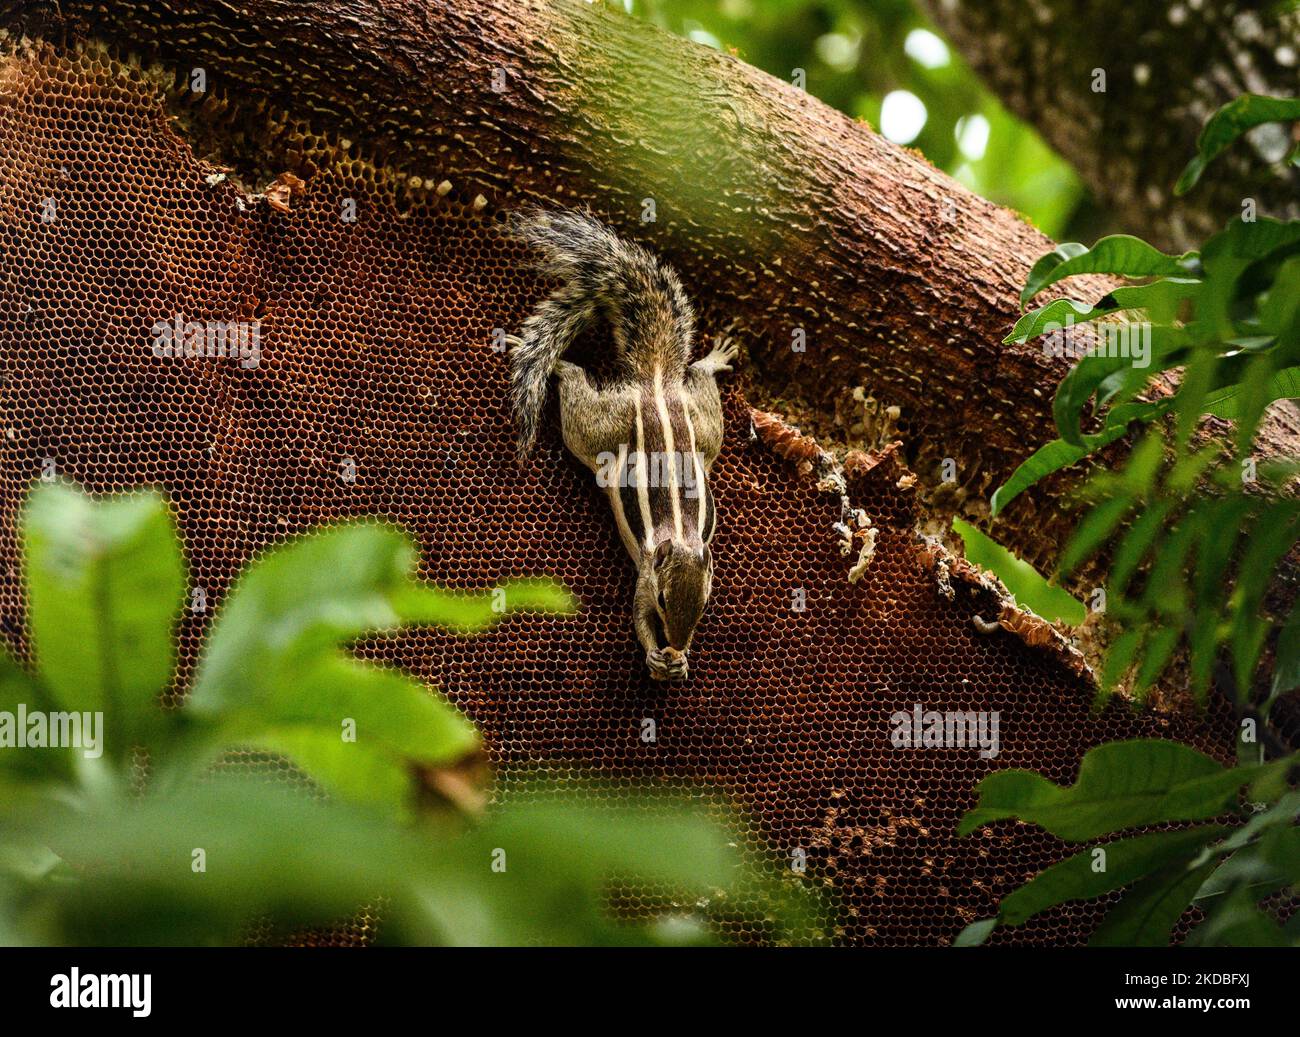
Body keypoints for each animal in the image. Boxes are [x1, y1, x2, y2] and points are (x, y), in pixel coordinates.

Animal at [504, 208, 737, 681]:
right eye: (665, 599)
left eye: (705, 605)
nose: (677, 642)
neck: (680, 539)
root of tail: (655, 383)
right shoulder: (646, 578)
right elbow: (638, 617)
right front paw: (656, 656)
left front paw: (680, 659)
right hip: (599, 427)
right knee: (576, 387)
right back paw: (557, 363)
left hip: (703, 427)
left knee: (702, 384)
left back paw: (714, 359)